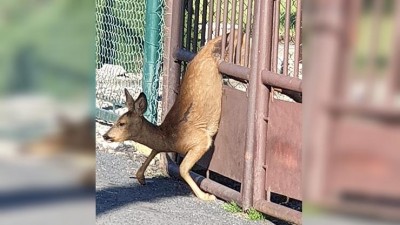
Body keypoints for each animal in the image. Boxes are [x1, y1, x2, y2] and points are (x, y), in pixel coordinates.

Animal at [103, 34, 228, 200]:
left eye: (122, 123)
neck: (169, 136)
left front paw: (206, 196)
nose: (105, 135)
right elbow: (155, 150)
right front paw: (141, 177)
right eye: (116, 120)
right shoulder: (163, 145)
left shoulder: (202, 140)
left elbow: (182, 168)